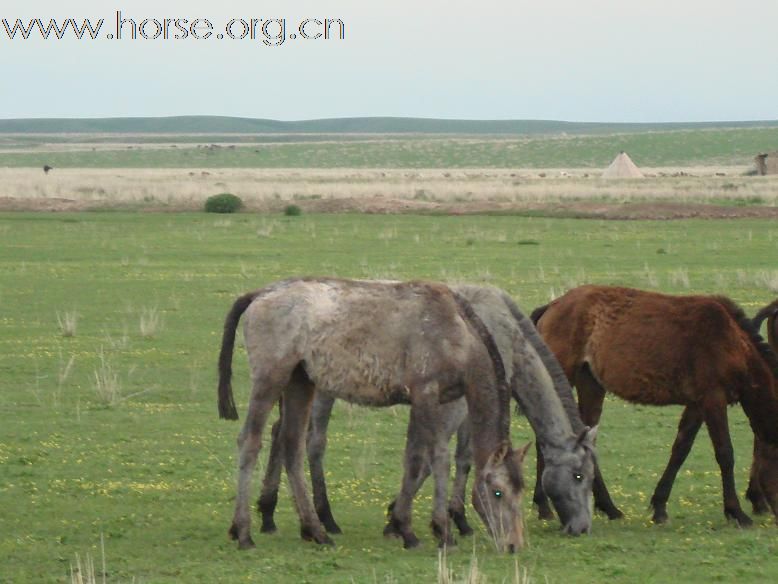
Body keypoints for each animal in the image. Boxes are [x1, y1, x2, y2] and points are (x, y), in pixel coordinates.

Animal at [221, 278, 532, 552]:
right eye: (498, 492)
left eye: (521, 491)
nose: (514, 545)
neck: (458, 334)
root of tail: (258, 294)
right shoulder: (426, 394)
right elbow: (439, 460)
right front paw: (442, 532)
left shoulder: (421, 401)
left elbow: (413, 461)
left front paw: (405, 529)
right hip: (270, 378)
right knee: (250, 441)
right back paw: (244, 533)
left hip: (300, 381)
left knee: (292, 446)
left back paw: (316, 531)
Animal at [255, 286, 608, 540]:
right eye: (580, 476)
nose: (582, 527)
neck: (503, 332)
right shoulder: (455, 406)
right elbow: (439, 458)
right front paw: (416, 519)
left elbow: (457, 458)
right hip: (319, 395)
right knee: (310, 443)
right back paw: (323, 518)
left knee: (281, 434)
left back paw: (270, 514)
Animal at [532, 286, 776, 528]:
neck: (731, 342)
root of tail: (552, 306)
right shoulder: (713, 399)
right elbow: (725, 453)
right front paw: (737, 513)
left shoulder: (697, 404)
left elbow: (681, 449)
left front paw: (659, 507)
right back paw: (545, 507)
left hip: (590, 384)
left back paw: (609, 508)